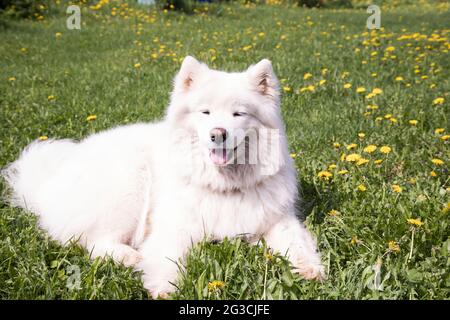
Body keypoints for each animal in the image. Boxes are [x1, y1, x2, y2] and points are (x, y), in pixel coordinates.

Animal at [0, 57, 324, 298]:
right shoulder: (173, 226)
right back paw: (130, 256)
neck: (223, 185)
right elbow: (167, 256)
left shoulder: (277, 220)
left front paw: (311, 269)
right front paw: (165, 287)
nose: (217, 134)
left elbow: (297, 242)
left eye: (238, 114)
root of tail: (50, 184)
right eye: (205, 112)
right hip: (130, 183)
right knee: (92, 241)